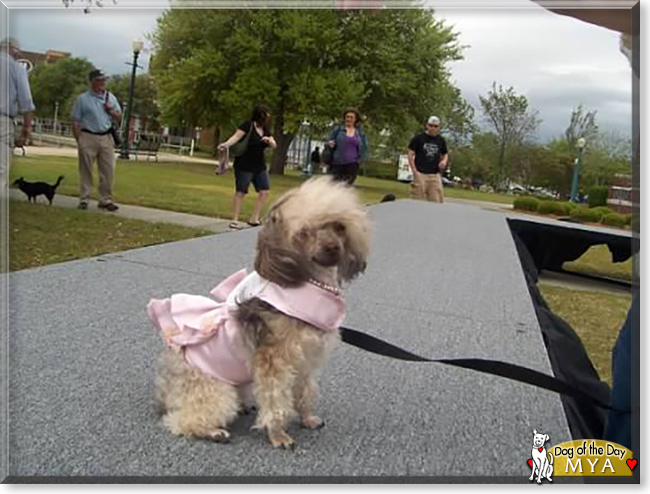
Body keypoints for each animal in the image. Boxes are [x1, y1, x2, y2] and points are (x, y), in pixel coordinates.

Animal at [147, 178, 370, 448]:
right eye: (304, 232)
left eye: (339, 226)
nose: (333, 248)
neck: (311, 283)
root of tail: (166, 388)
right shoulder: (275, 364)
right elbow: (276, 402)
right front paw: (278, 435)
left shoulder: (305, 362)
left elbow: (305, 392)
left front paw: (307, 418)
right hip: (217, 391)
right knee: (181, 421)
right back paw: (213, 432)